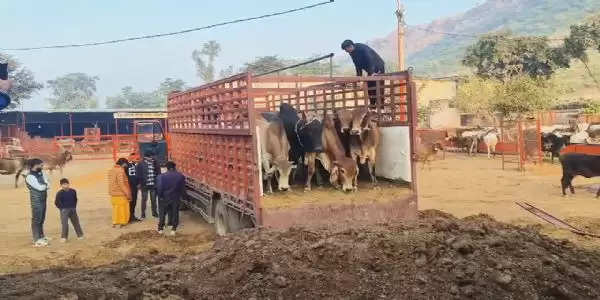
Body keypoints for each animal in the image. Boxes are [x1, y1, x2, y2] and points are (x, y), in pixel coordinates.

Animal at [166, 72, 420, 234]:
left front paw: (329, 184)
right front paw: (302, 187)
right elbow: (302, 170)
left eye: (353, 174)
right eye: (309, 130)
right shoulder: (296, 156)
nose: (348, 189)